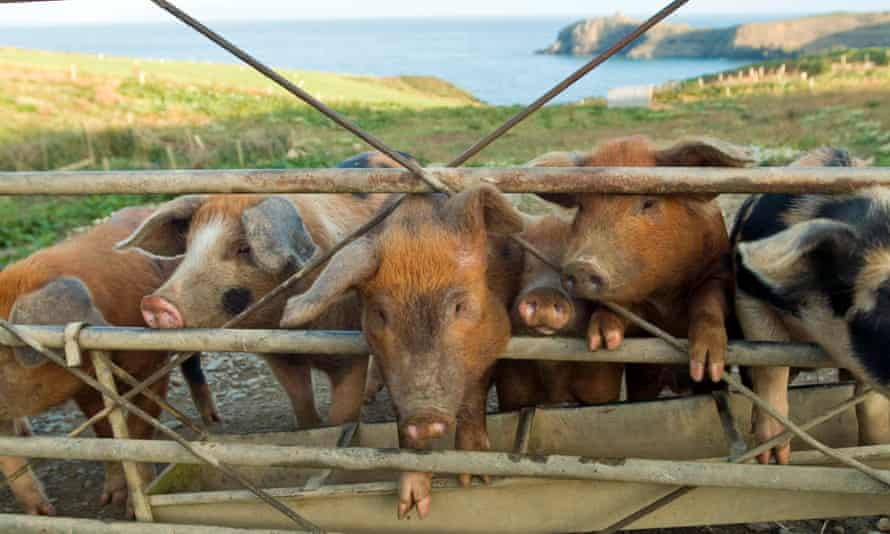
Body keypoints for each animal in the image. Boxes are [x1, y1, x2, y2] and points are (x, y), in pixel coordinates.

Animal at [0, 207, 175, 516]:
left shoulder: (153, 365)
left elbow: (140, 432)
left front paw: (131, 511)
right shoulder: (84, 388)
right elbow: (105, 434)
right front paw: (50, 514)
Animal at [116, 153, 412, 430]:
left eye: (244, 248)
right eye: (189, 245)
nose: (154, 303)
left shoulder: (347, 352)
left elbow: (342, 416)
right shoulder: (279, 356)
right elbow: (302, 406)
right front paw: (309, 426)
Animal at [280, 186, 524, 520]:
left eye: (459, 306)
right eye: (381, 314)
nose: (423, 416)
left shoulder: (492, 338)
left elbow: (474, 394)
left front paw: (474, 480)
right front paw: (410, 508)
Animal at [532, 135, 752, 390]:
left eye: (648, 202)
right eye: (582, 206)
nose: (582, 265)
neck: (666, 299)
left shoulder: (719, 269)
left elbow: (708, 302)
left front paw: (707, 365)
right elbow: (623, 307)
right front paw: (601, 340)